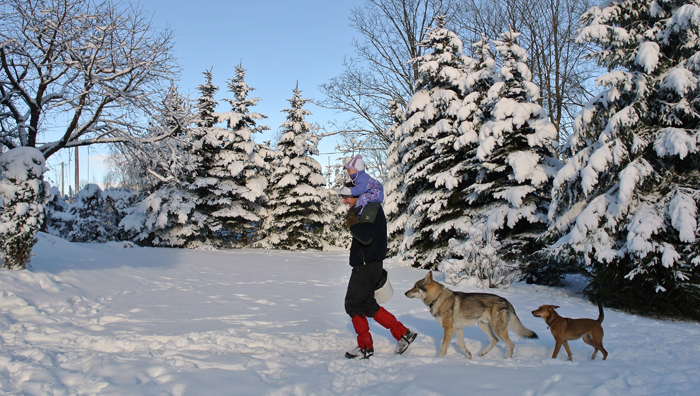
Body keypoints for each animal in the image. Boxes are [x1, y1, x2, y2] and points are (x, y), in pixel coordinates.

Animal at [402, 270, 540, 358]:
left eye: (415, 287)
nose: (404, 293)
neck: (438, 298)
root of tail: (506, 301)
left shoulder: (448, 329)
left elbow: (443, 346)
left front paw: (438, 360)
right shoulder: (458, 328)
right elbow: (461, 344)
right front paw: (468, 356)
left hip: (498, 329)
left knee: (511, 345)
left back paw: (507, 361)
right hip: (483, 326)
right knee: (495, 340)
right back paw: (483, 353)